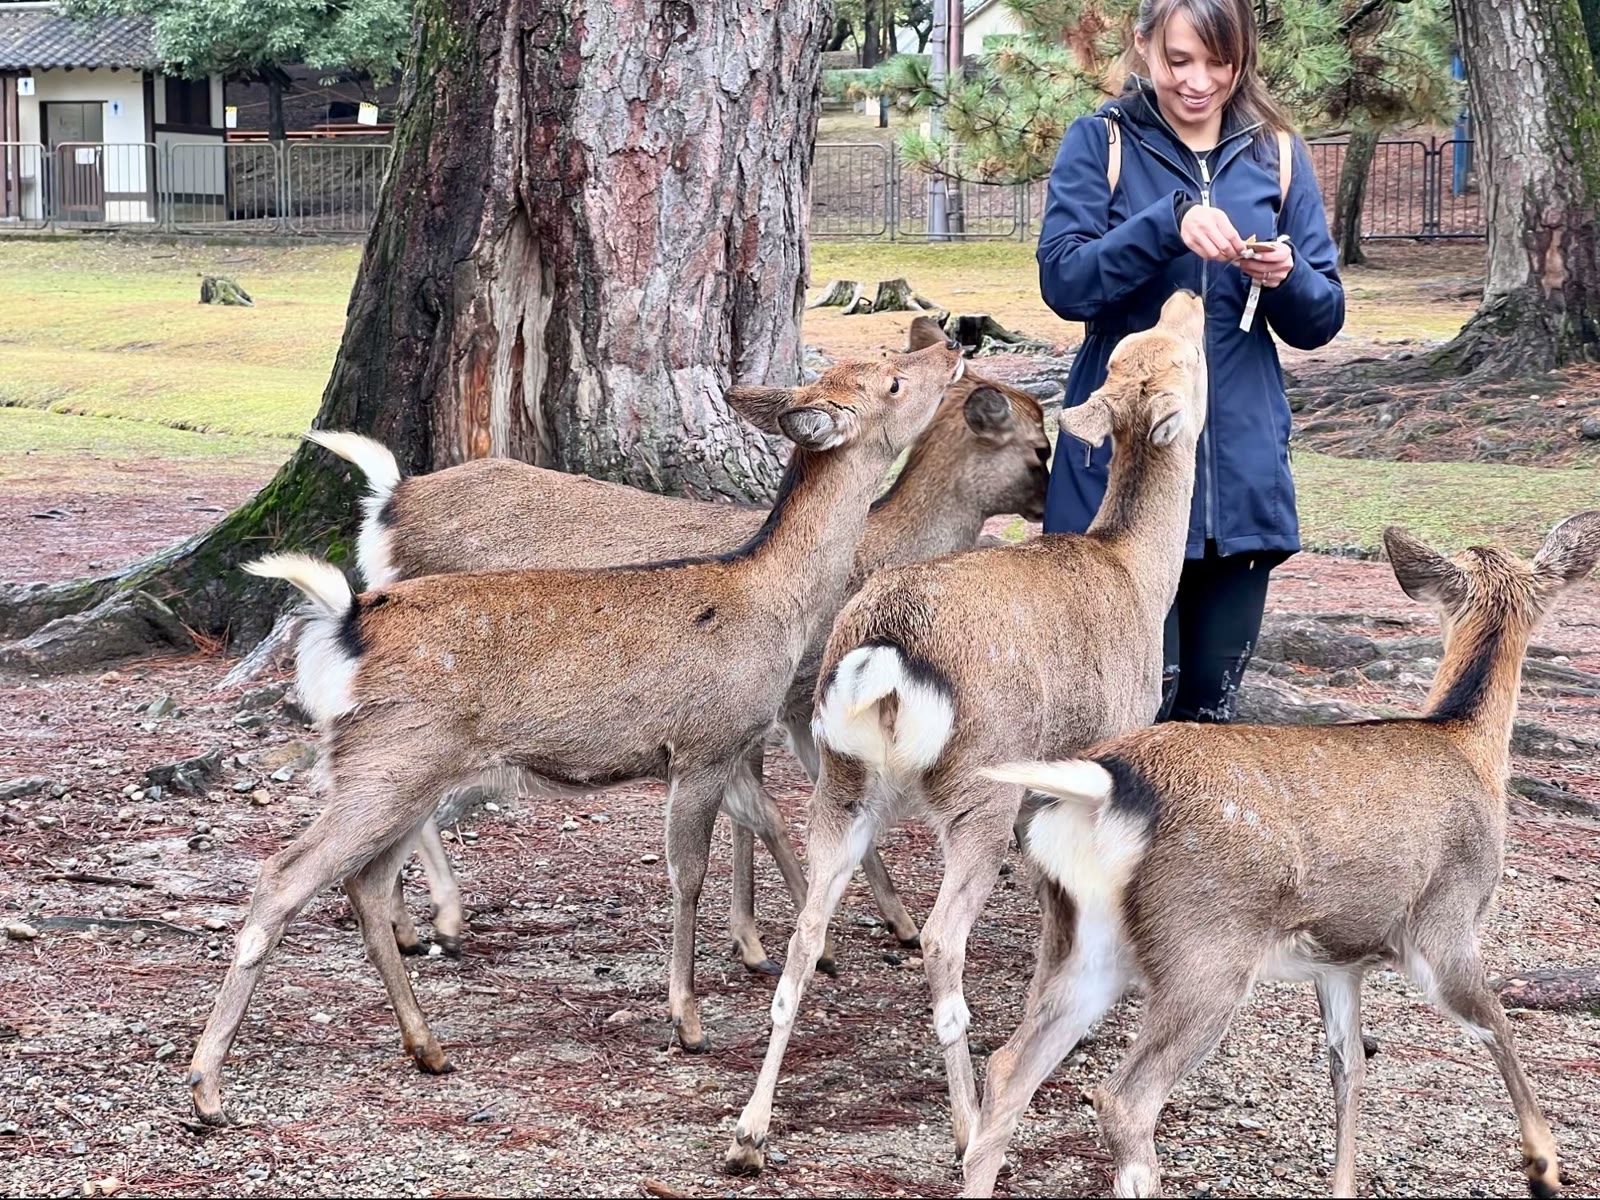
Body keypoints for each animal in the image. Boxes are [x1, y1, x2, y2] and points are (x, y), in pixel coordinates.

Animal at [185, 342, 967, 1126]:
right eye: (894, 380)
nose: (955, 345)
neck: (775, 604)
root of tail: (344, 624)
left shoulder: (731, 747)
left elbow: (755, 831)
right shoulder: (705, 741)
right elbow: (688, 872)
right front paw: (688, 1020)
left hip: (407, 772)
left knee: (366, 883)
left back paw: (428, 1046)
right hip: (388, 763)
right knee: (284, 874)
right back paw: (208, 1084)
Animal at [306, 320, 1050, 969]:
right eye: (1040, 443)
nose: (953, 345)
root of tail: (388, 503)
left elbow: (757, 814)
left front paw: (767, 938)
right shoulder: (794, 699)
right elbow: (786, 813)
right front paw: (836, 933)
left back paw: (409, 922)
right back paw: (441, 919)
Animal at [725, 289, 1210, 1175]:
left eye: (1140, 343)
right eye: (1177, 354)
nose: (1188, 294)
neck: (1137, 572)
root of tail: (881, 654)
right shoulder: (1111, 746)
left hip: (842, 784)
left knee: (807, 932)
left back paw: (749, 1131)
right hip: (973, 793)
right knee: (941, 940)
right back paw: (967, 1126)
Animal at [962, 513, 1600, 1200]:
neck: (1468, 743)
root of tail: (1104, 783)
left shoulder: (1341, 960)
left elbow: (1348, 1068)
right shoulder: (1445, 919)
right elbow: (1497, 1024)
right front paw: (1544, 1165)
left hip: (1079, 935)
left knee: (1009, 1068)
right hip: (1205, 947)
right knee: (1124, 1100)